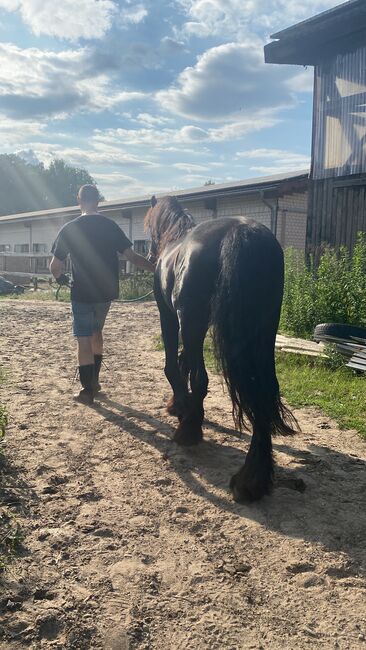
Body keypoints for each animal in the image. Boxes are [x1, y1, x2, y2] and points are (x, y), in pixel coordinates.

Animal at [144, 194, 296, 502]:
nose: (151, 255)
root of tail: (243, 231)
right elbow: (184, 361)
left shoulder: (170, 316)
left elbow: (174, 365)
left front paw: (180, 406)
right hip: (263, 334)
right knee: (264, 392)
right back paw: (253, 480)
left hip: (192, 321)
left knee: (202, 379)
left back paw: (189, 432)